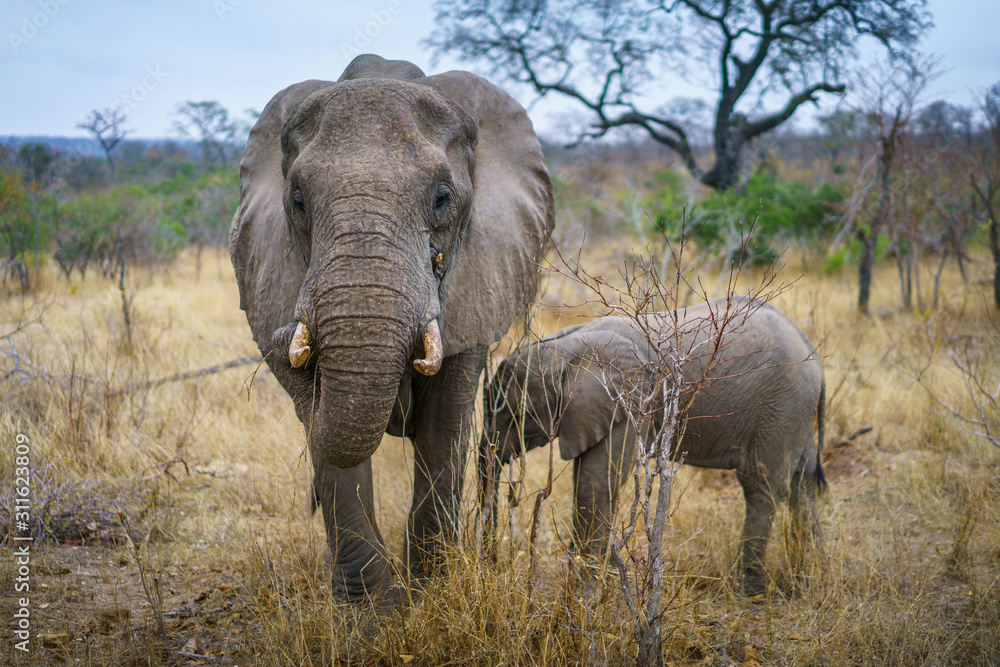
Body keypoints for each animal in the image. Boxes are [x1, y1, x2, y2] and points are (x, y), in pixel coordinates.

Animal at [229, 54, 554, 603]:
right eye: (297, 202)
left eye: (442, 199)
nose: (281, 336)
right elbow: (331, 438)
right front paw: (371, 611)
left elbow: (444, 425)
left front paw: (429, 593)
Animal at [480, 297, 826, 593]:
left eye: (513, 415)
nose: (491, 564)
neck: (566, 346)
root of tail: (812, 351)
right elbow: (588, 476)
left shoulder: (629, 402)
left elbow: (596, 483)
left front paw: (584, 589)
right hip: (793, 410)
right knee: (804, 483)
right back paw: (810, 576)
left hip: (780, 407)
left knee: (760, 485)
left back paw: (749, 589)